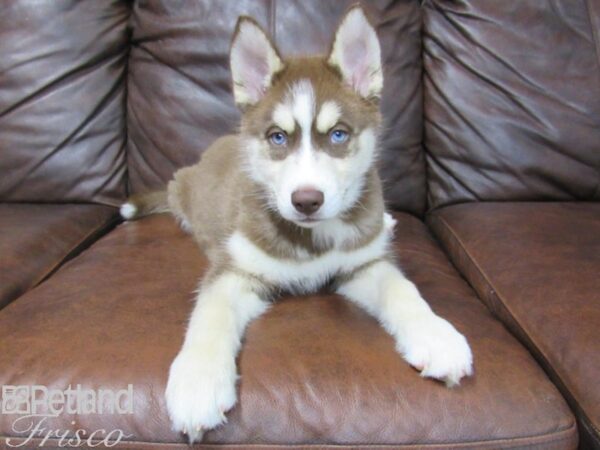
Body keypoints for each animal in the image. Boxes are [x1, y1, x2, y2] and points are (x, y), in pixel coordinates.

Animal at [119, 6, 472, 442]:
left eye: (338, 134)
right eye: (277, 137)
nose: (306, 201)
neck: (312, 237)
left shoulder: (363, 264)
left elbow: (403, 289)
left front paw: (437, 337)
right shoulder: (235, 271)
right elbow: (209, 315)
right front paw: (197, 383)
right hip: (182, 187)